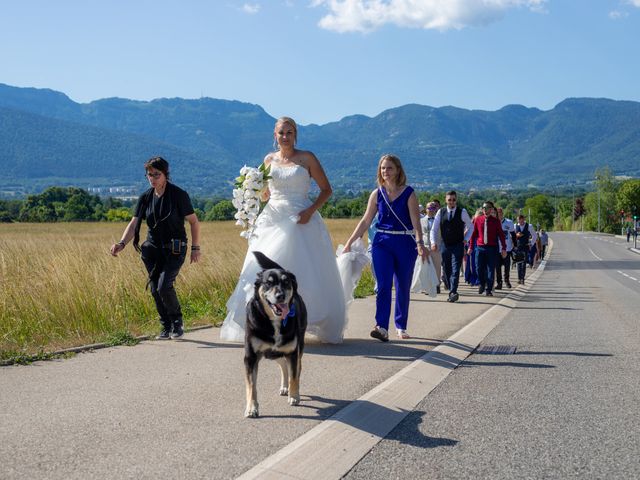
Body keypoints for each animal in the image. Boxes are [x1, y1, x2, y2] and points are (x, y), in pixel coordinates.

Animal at [242, 251, 308, 416]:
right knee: (283, 365)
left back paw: (292, 389)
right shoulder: (250, 357)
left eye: (286, 283)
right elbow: (251, 386)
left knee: (297, 368)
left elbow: (294, 376)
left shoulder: (292, 352)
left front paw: (294, 395)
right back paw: (284, 387)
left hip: (297, 347)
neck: (274, 321)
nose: (280, 296)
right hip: (274, 353)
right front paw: (251, 408)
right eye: (269, 283)